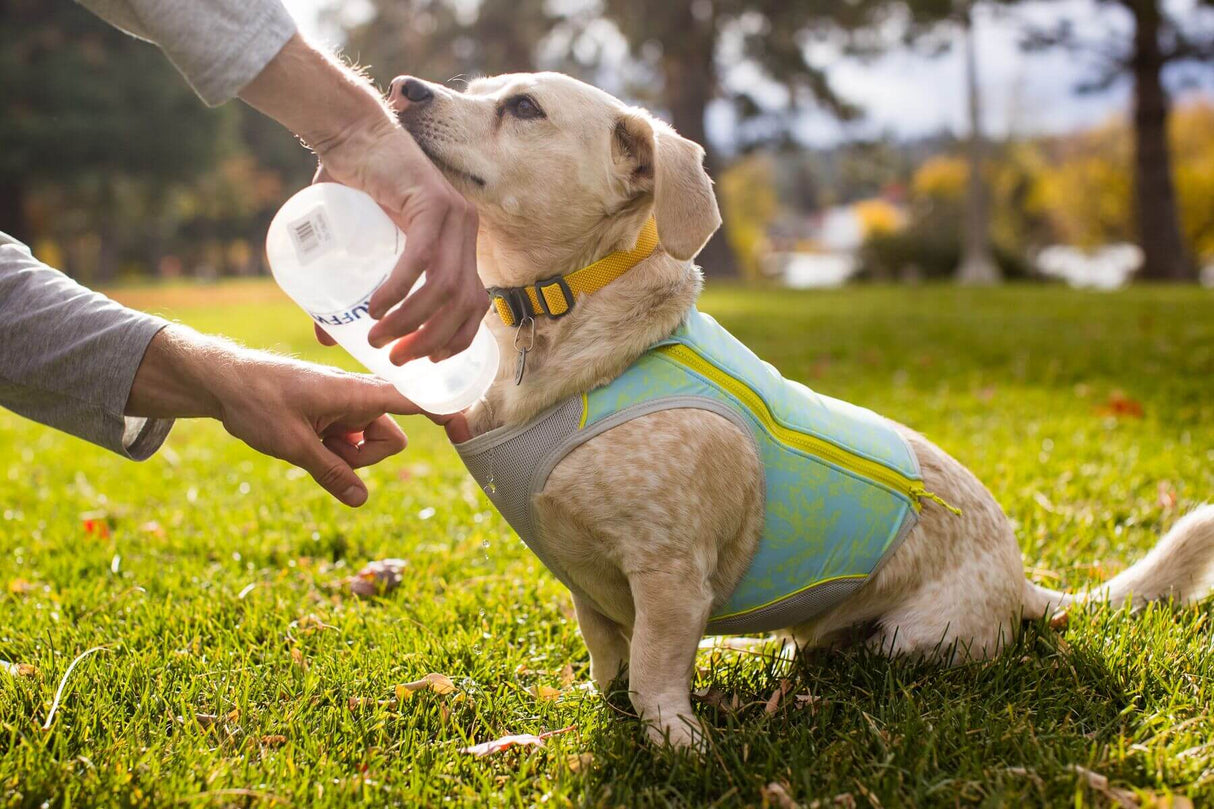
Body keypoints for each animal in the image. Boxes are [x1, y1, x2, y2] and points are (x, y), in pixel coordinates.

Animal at [388, 72, 1214, 748]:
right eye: (477, 87)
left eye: (524, 107)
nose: (402, 87)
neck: (555, 327)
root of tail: (1022, 583)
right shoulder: (587, 584)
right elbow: (609, 663)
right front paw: (612, 710)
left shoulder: (669, 574)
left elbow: (654, 672)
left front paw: (678, 743)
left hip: (912, 640)